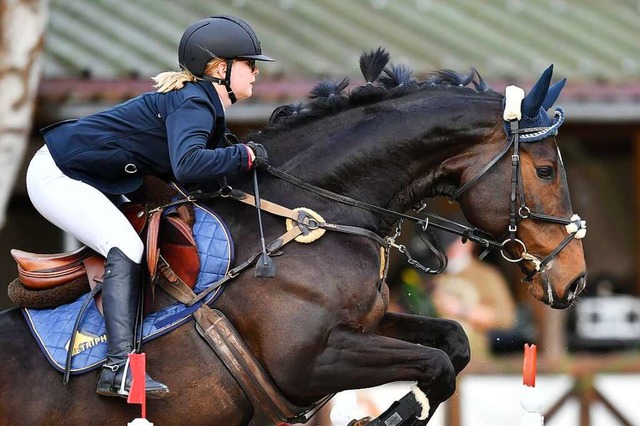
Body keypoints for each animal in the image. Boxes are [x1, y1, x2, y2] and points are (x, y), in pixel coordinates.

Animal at [0, 50, 584, 426]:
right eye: (547, 171)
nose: (574, 280)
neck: (316, 214)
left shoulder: (366, 325)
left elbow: (454, 341)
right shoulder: (307, 362)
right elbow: (438, 365)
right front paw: (387, 418)